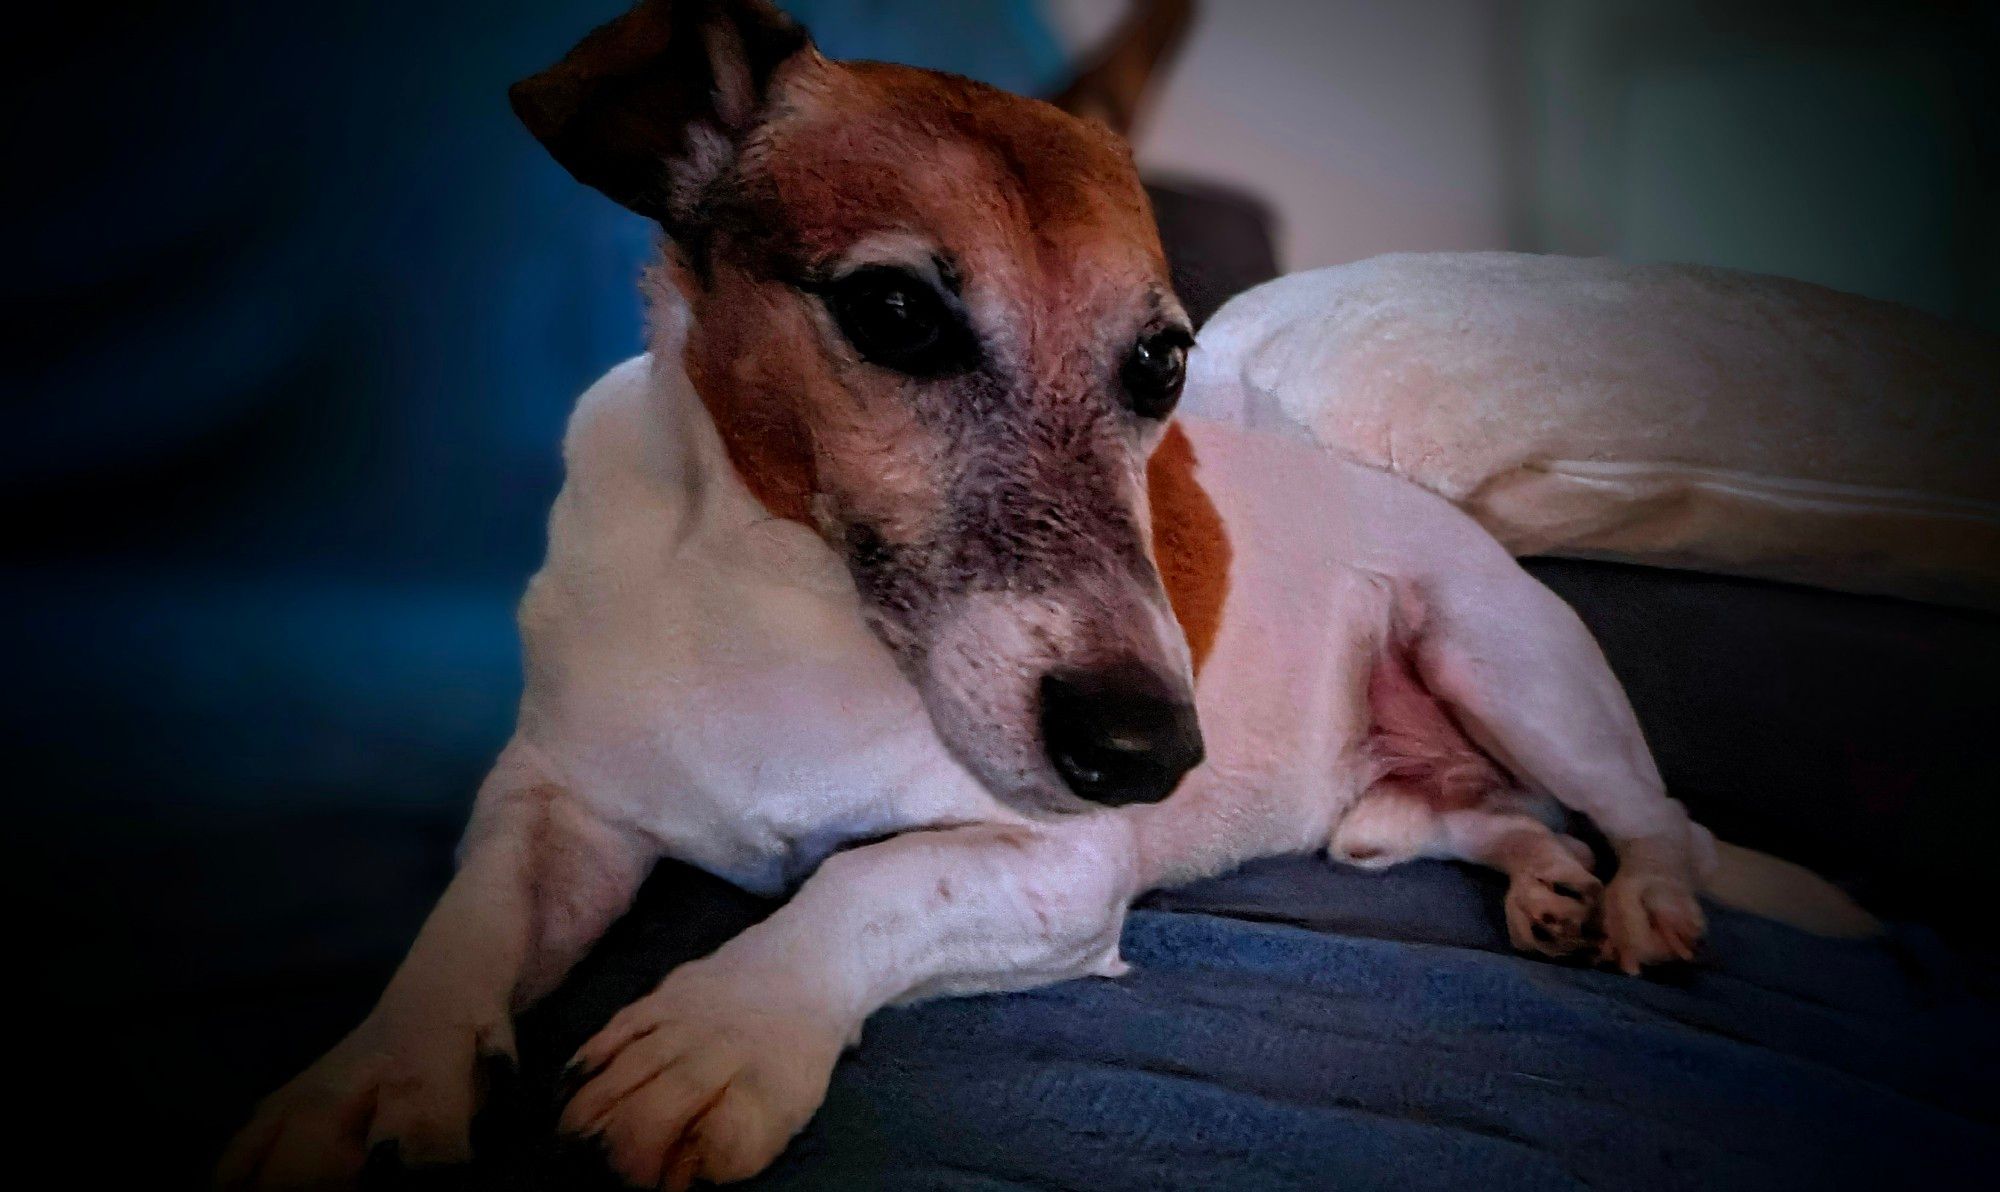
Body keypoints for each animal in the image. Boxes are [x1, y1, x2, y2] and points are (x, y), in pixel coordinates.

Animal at [219, 4, 1872, 1184]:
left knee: (1659, 820)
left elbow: (867, 883)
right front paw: (364, 1082)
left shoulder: (1061, 871)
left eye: (1164, 363)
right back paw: (1545, 888)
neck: (782, 594)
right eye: (893, 310)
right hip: (1402, 800)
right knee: (1497, 822)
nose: (1155, 756)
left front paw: (722, 1032)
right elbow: (464, 930)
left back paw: (1645, 901)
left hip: (1505, 660)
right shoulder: (557, 803)